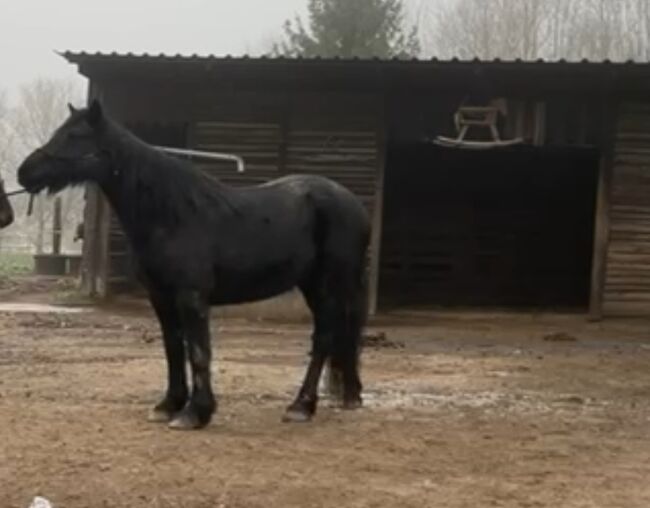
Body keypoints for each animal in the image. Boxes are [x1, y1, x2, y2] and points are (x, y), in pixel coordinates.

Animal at [16, 100, 370, 428]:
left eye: (74, 135)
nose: (24, 171)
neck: (172, 214)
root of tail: (352, 203)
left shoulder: (191, 296)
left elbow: (199, 351)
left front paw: (195, 413)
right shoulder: (161, 297)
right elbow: (174, 348)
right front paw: (169, 404)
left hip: (329, 283)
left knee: (323, 337)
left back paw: (301, 406)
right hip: (312, 284)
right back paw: (346, 395)